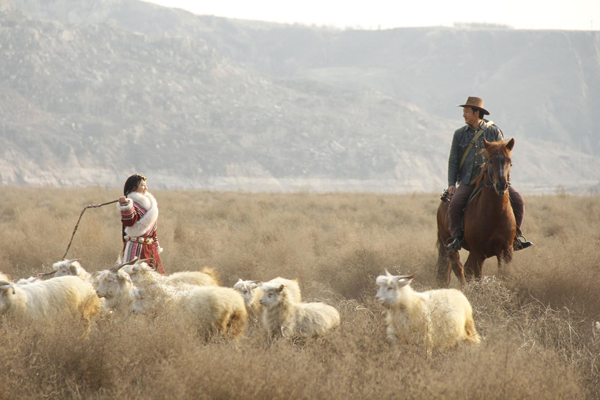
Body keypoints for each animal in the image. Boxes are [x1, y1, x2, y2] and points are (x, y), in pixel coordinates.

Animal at [436, 139, 516, 286]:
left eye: (509, 161)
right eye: (490, 161)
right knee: (458, 268)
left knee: (466, 269)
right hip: (449, 246)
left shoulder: (506, 252)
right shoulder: (478, 253)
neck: (494, 215)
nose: (501, 185)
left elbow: (504, 278)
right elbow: (478, 281)